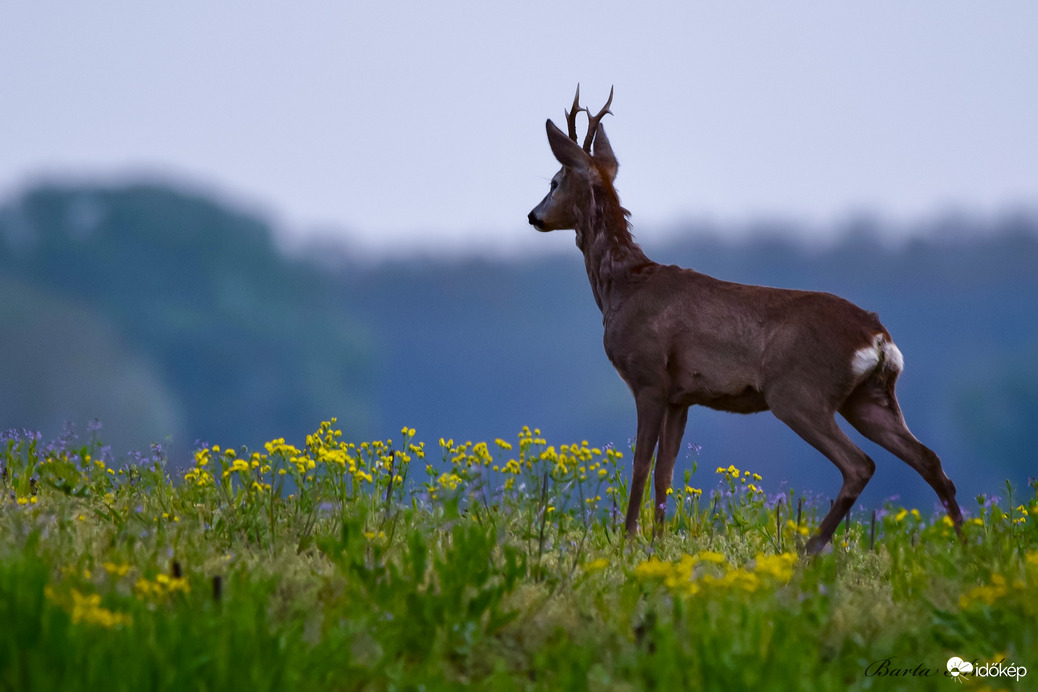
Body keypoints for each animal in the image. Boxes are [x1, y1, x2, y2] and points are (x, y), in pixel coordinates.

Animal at [527, 86, 963, 556]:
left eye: (554, 182)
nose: (533, 216)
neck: (622, 287)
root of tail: (879, 337)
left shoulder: (648, 377)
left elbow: (641, 463)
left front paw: (628, 541)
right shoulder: (682, 395)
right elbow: (666, 470)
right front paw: (658, 544)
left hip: (796, 392)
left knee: (860, 464)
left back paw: (808, 551)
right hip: (869, 397)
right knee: (930, 460)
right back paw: (967, 546)